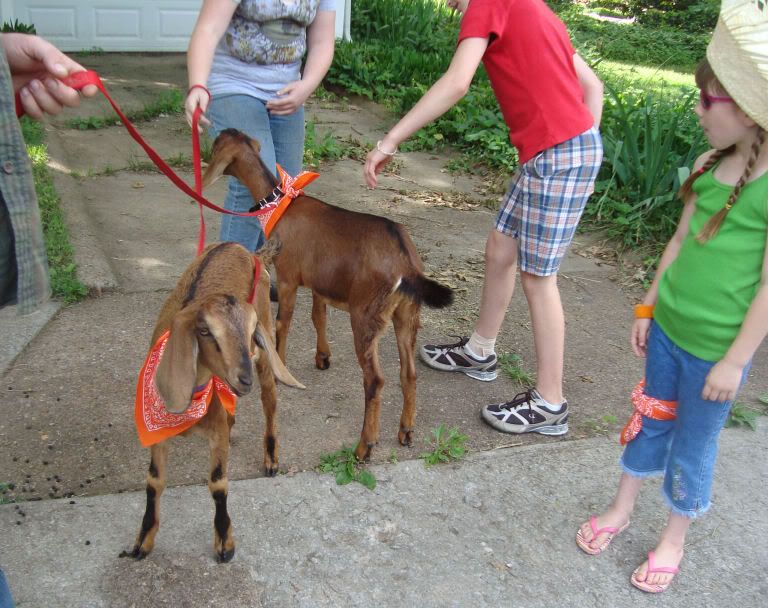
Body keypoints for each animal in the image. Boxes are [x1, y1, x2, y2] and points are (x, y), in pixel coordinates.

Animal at [120, 241, 303, 562]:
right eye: (205, 331)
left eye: (251, 331)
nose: (244, 378)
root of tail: (244, 249)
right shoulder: (157, 434)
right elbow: (154, 480)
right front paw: (143, 541)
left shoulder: (216, 432)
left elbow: (217, 483)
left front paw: (224, 544)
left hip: (266, 356)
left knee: (270, 399)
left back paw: (271, 458)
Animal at [202, 129, 453, 461]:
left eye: (217, 142)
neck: (281, 203)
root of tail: (406, 263)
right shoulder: (320, 284)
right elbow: (317, 317)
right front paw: (323, 357)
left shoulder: (288, 278)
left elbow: (284, 323)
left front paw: (281, 368)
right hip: (407, 314)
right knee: (408, 373)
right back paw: (406, 431)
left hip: (365, 317)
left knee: (375, 380)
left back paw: (364, 446)